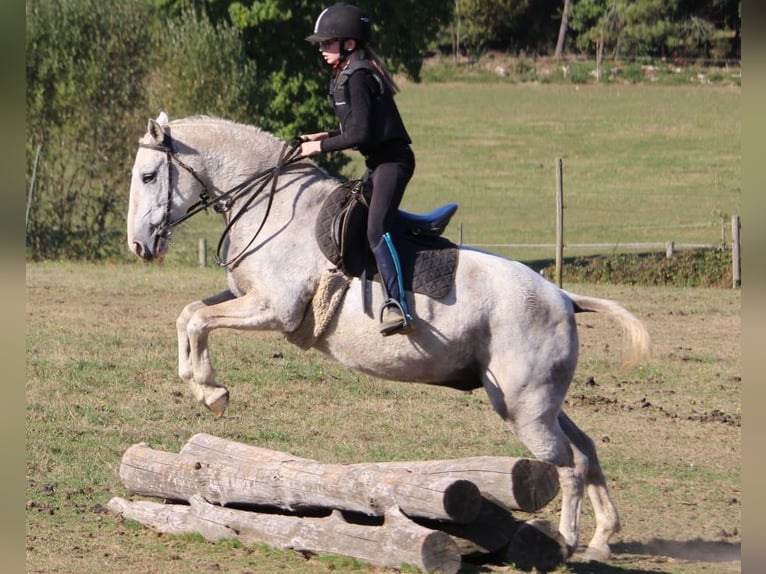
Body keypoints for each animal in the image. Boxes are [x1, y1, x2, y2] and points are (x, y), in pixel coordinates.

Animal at [127, 111, 656, 564]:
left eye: (149, 177)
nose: (138, 245)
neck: (272, 208)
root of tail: (563, 297)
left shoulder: (274, 309)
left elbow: (198, 321)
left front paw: (211, 391)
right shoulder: (245, 297)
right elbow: (189, 315)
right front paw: (203, 386)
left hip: (523, 406)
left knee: (566, 463)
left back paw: (565, 542)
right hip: (540, 400)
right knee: (585, 450)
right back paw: (601, 540)